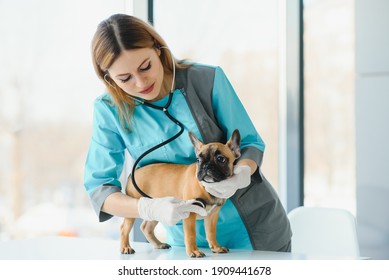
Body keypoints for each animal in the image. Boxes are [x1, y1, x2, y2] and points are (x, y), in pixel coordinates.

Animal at [121, 130, 241, 258]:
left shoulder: (212, 216)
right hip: (132, 209)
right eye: (198, 160)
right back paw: (126, 247)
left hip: (156, 208)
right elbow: (191, 234)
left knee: (146, 227)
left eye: (220, 158)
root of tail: (134, 172)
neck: (206, 187)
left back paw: (159, 244)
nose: (206, 166)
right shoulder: (190, 214)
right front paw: (194, 251)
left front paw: (216, 247)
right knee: (124, 228)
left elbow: (211, 233)